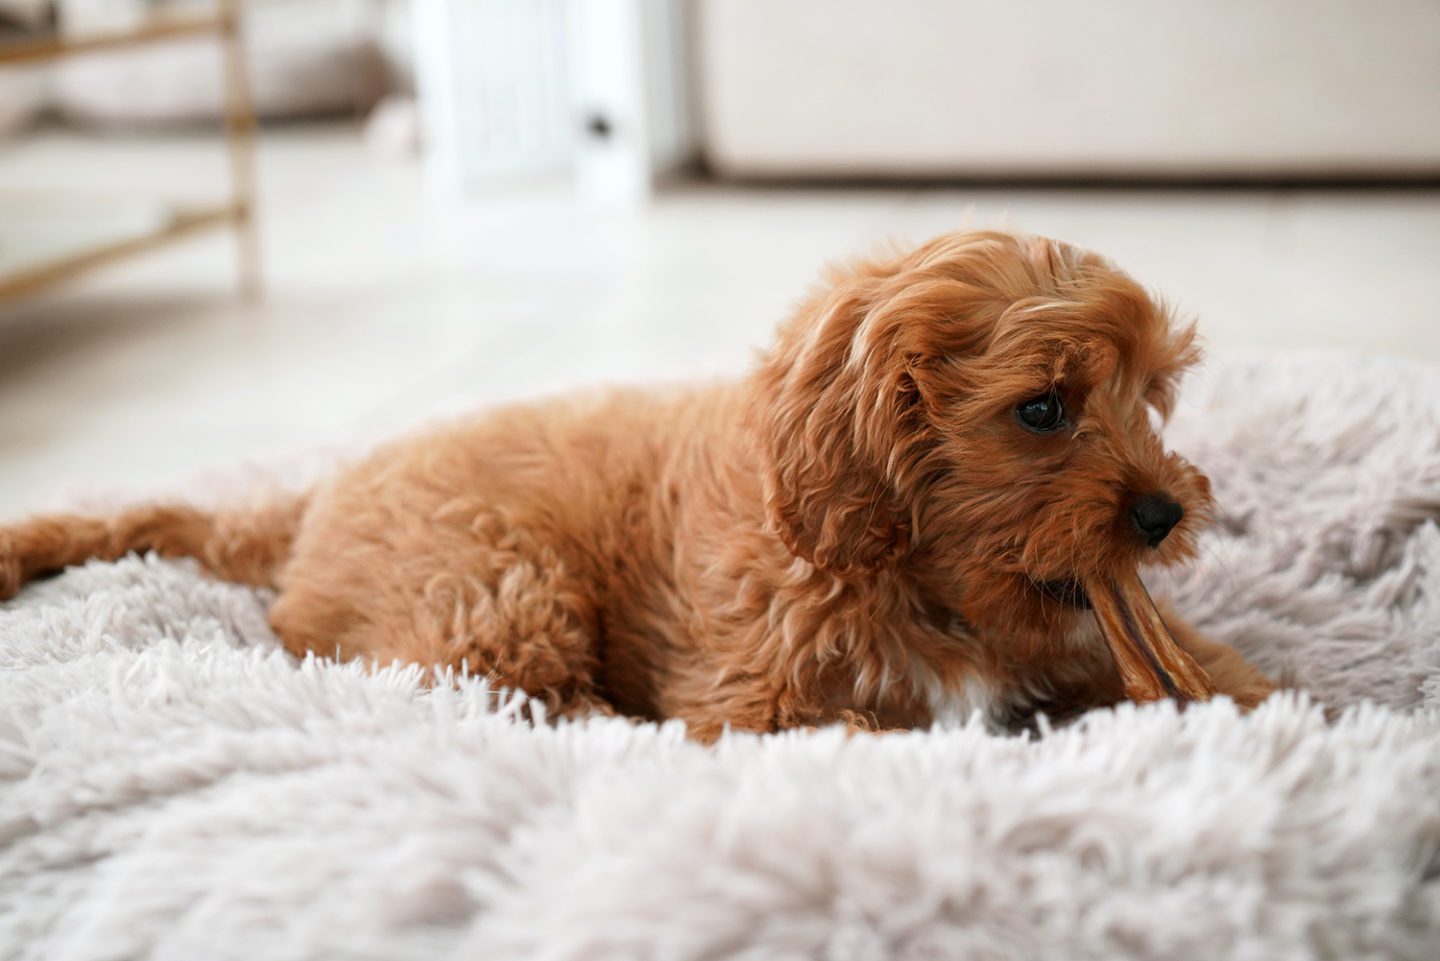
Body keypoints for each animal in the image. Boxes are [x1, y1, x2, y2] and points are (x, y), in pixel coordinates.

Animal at [5, 230, 1278, 737]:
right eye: (1043, 409)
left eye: (1152, 397)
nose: (1166, 513)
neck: (924, 585)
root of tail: (308, 502)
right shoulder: (752, 700)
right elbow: (849, 734)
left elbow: (1228, 678)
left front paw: (1301, 721)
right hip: (495, 588)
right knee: (509, 697)